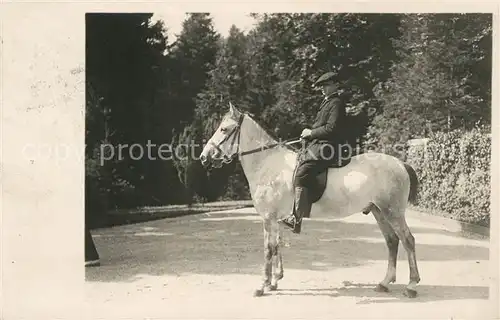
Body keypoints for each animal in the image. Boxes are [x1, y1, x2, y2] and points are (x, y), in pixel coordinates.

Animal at [200, 102, 422, 298]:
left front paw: (262, 286)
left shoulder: (268, 218)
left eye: (224, 129)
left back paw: (411, 286)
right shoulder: (275, 219)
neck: (268, 165)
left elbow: (268, 249)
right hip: (379, 211)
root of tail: (400, 163)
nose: (203, 157)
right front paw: (275, 281)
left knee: (407, 240)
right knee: (392, 241)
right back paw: (384, 283)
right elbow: (277, 246)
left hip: (392, 212)